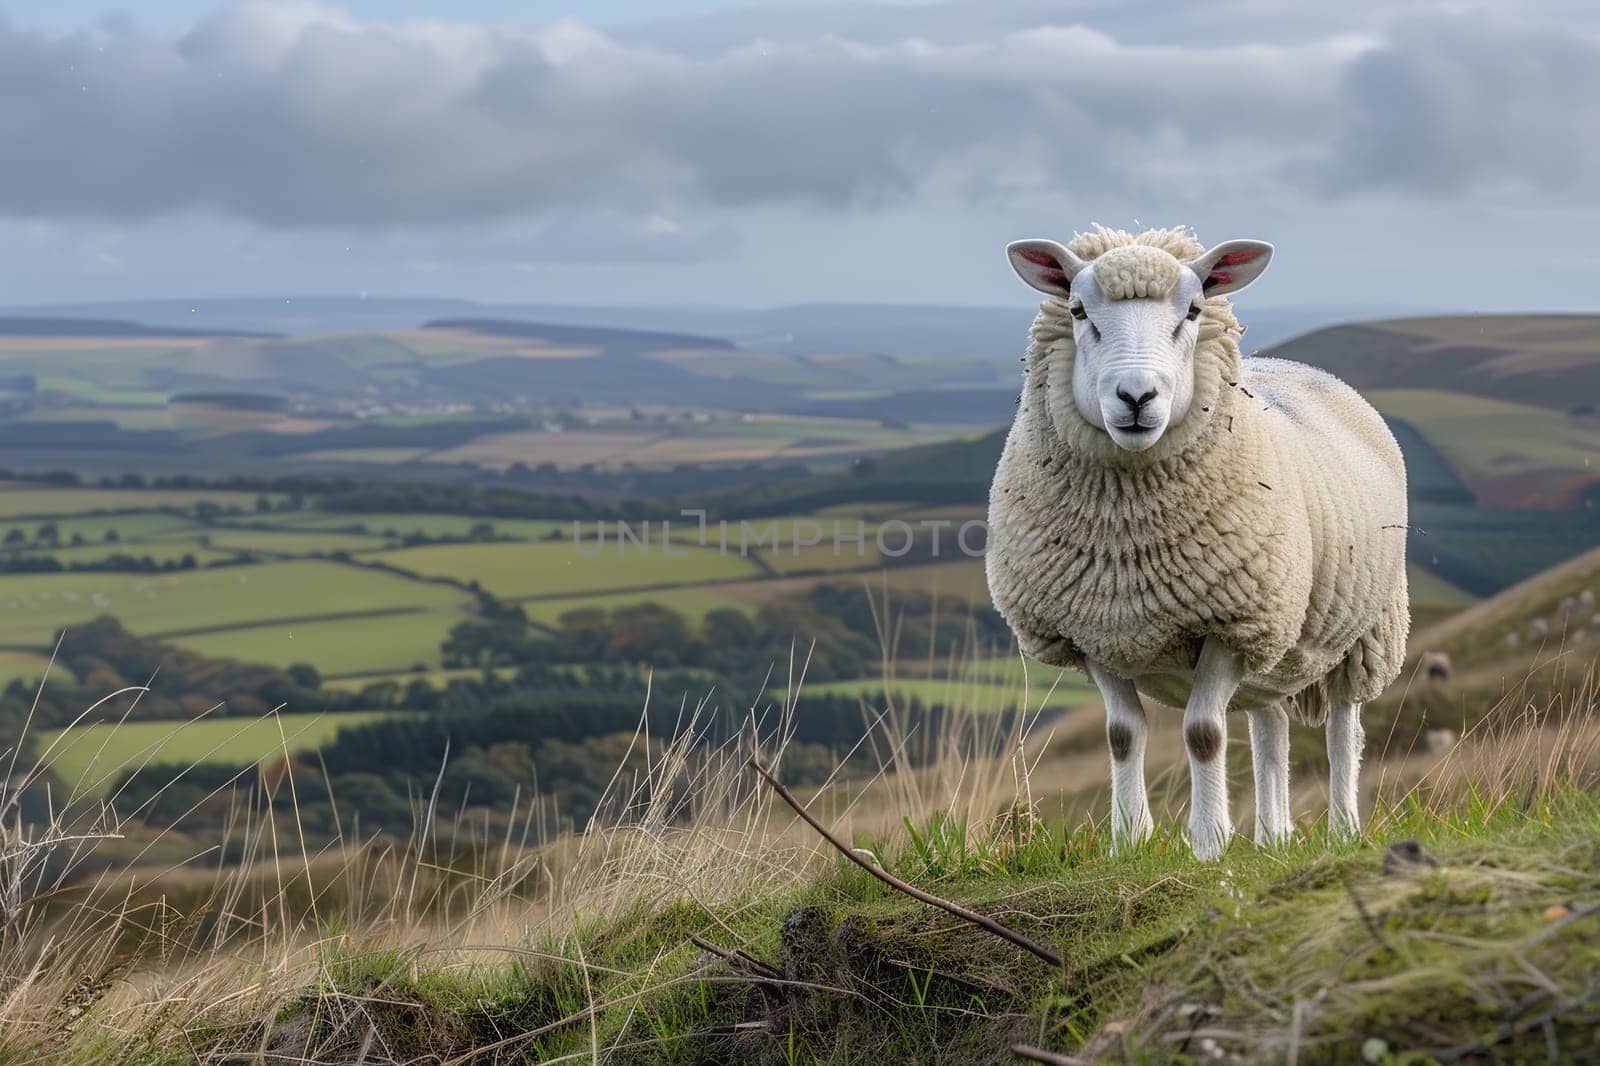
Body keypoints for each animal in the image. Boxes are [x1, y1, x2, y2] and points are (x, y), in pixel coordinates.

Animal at [979, 222, 1408, 857]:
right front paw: (1129, 841)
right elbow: (1122, 735)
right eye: (1078, 310)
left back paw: (1342, 829)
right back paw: (1273, 836)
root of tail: (1308, 369)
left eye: (1195, 310)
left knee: (1341, 729)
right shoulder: (1094, 628)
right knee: (1272, 729)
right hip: (1275, 645)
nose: (1136, 397)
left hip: (1364, 629)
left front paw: (1209, 844)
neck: (1126, 545)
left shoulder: (1230, 624)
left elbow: (1204, 733)